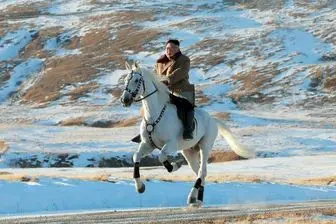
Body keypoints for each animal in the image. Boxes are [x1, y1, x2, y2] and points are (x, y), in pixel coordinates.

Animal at [119, 61, 253, 206]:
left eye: (136, 80)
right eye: (126, 80)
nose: (124, 100)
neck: (154, 116)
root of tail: (212, 119)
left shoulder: (171, 144)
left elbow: (161, 156)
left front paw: (175, 165)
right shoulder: (147, 144)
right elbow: (136, 157)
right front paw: (140, 187)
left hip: (205, 146)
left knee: (202, 171)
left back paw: (192, 197)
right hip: (189, 151)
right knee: (199, 172)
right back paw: (197, 198)